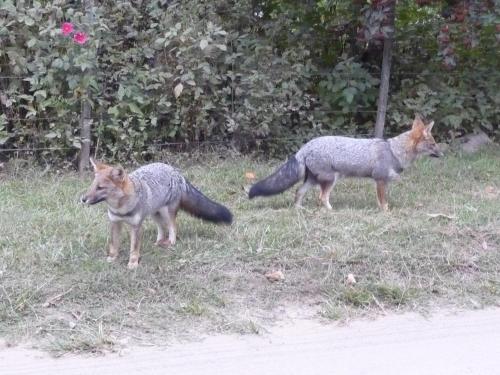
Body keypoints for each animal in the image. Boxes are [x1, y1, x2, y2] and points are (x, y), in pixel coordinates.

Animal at [80, 160, 232, 268]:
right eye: (92, 186)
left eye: (100, 188)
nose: (83, 199)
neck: (120, 208)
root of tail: (176, 172)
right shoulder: (115, 222)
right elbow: (113, 245)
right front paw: (112, 258)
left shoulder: (136, 227)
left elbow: (134, 248)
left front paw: (133, 263)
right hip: (155, 214)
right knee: (162, 228)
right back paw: (158, 242)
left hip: (167, 213)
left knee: (172, 228)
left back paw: (170, 243)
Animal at [249, 115, 442, 212]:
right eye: (433, 144)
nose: (443, 153)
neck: (394, 150)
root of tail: (304, 147)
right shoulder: (380, 180)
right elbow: (384, 202)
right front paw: (386, 213)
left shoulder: (381, 182)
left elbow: (380, 200)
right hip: (330, 180)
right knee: (322, 197)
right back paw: (331, 211)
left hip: (313, 181)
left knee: (298, 192)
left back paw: (299, 209)